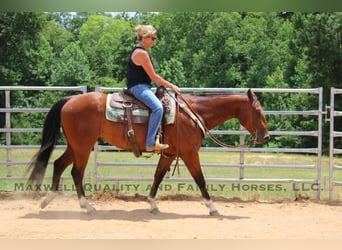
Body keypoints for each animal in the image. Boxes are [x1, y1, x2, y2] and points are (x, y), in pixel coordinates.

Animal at [28, 88, 270, 215]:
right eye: (258, 111)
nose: (266, 136)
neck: (193, 113)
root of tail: (70, 99)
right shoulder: (190, 153)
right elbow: (200, 178)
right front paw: (212, 207)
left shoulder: (170, 154)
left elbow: (158, 176)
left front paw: (152, 203)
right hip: (83, 147)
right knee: (76, 172)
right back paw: (86, 206)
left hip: (76, 146)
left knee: (59, 164)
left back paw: (48, 199)